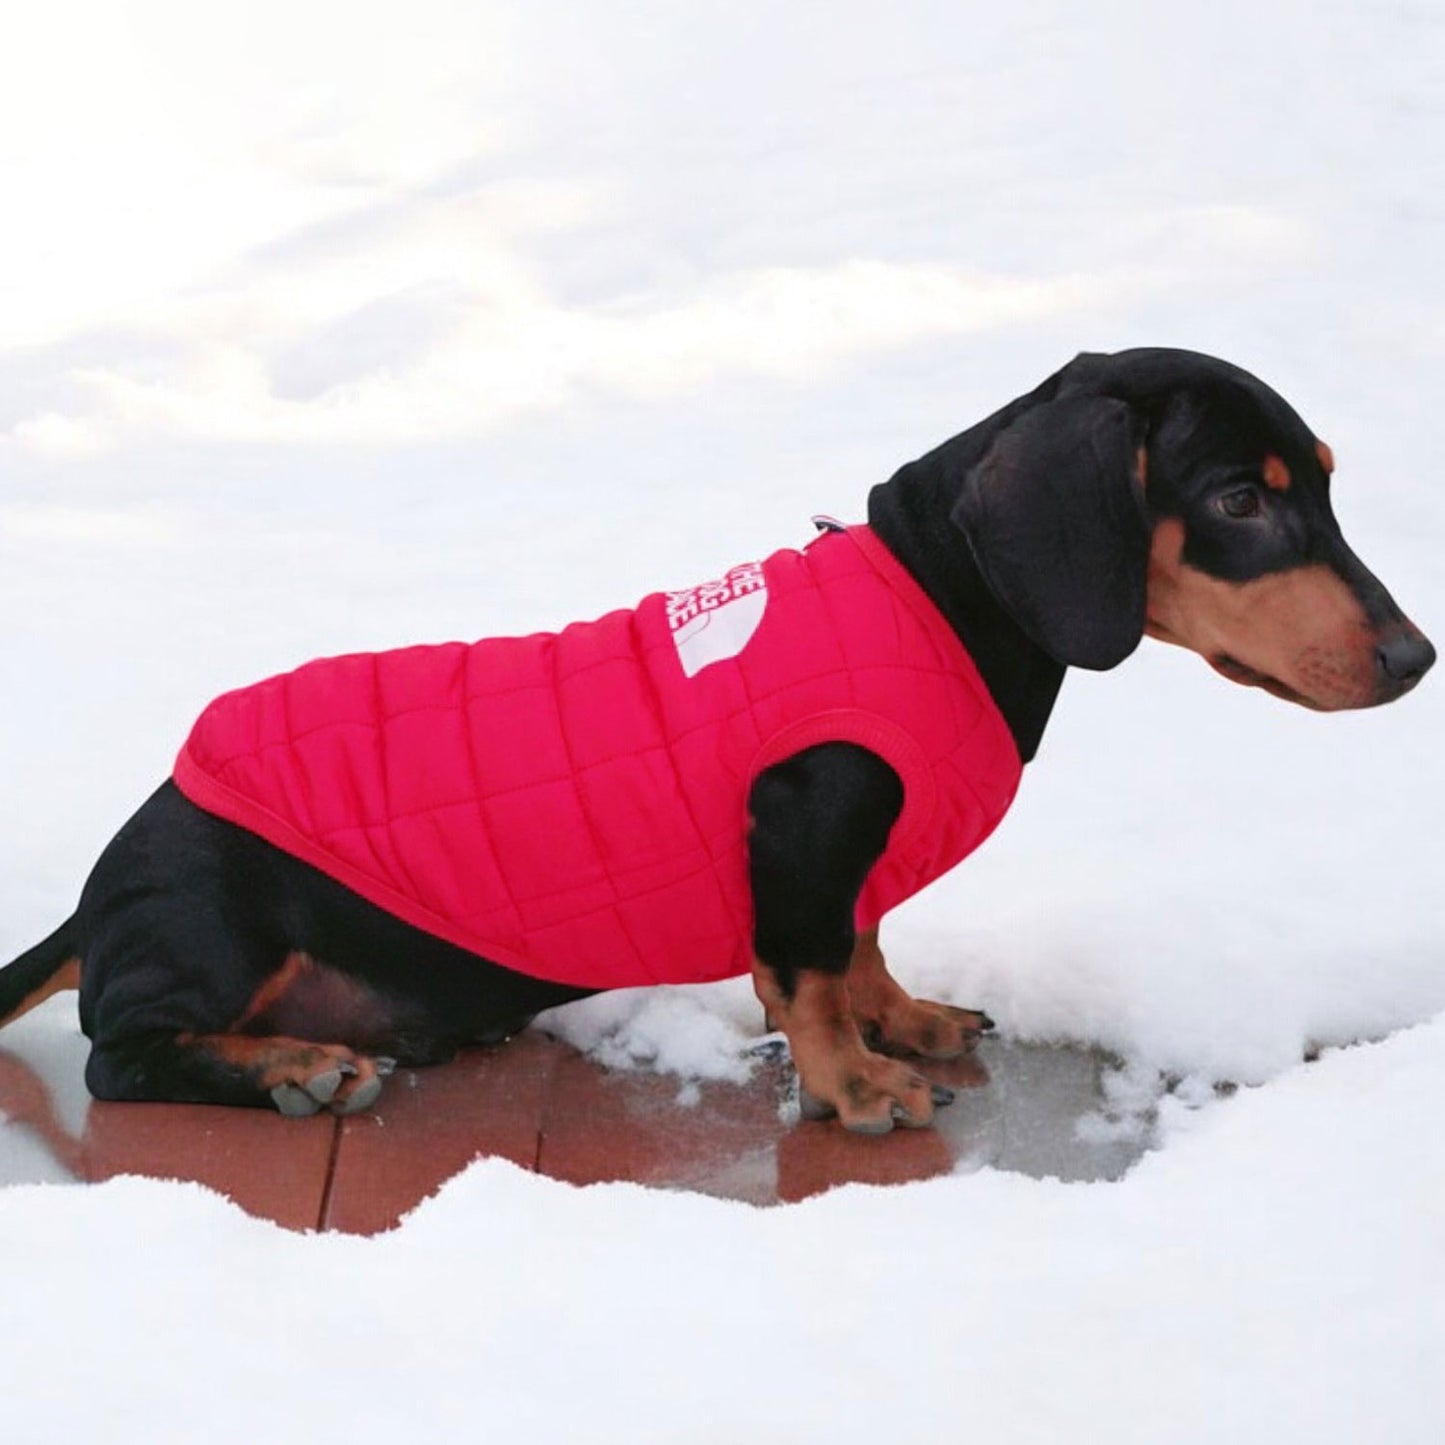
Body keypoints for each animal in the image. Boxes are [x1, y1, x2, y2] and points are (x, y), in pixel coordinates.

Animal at [0, 346, 1427, 1127]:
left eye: (1323, 480)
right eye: (1238, 500)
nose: (1416, 658)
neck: (931, 594)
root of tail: (106, 884)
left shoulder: (854, 857)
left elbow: (863, 943)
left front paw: (900, 1020)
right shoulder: (804, 820)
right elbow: (805, 974)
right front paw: (854, 1086)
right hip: (214, 925)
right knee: (122, 1057)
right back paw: (299, 1066)